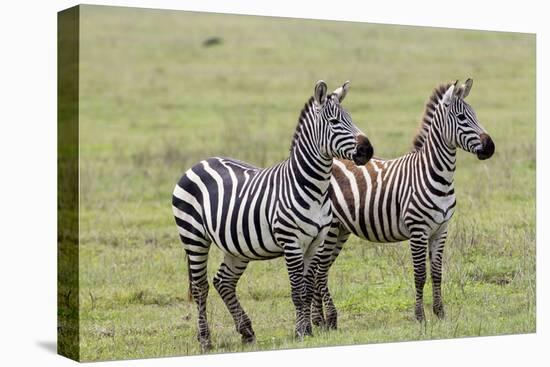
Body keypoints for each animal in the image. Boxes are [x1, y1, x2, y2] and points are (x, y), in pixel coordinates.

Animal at [172, 80, 376, 350]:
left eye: (351, 119)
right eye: (334, 122)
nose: (367, 150)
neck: (313, 187)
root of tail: (198, 163)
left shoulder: (315, 242)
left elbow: (307, 288)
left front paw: (308, 329)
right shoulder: (291, 242)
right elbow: (298, 291)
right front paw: (301, 332)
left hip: (236, 246)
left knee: (223, 281)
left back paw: (247, 332)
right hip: (193, 237)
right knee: (200, 287)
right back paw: (205, 340)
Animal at [312, 79, 498, 330]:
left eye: (475, 115)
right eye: (461, 117)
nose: (490, 147)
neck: (436, 174)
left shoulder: (441, 230)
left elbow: (437, 273)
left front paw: (440, 313)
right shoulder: (418, 230)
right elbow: (420, 275)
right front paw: (420, 317)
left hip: (340, 230)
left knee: (318, 270)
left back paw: (319, 321)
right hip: (329, 230)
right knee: (318, 271)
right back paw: (323, 320)